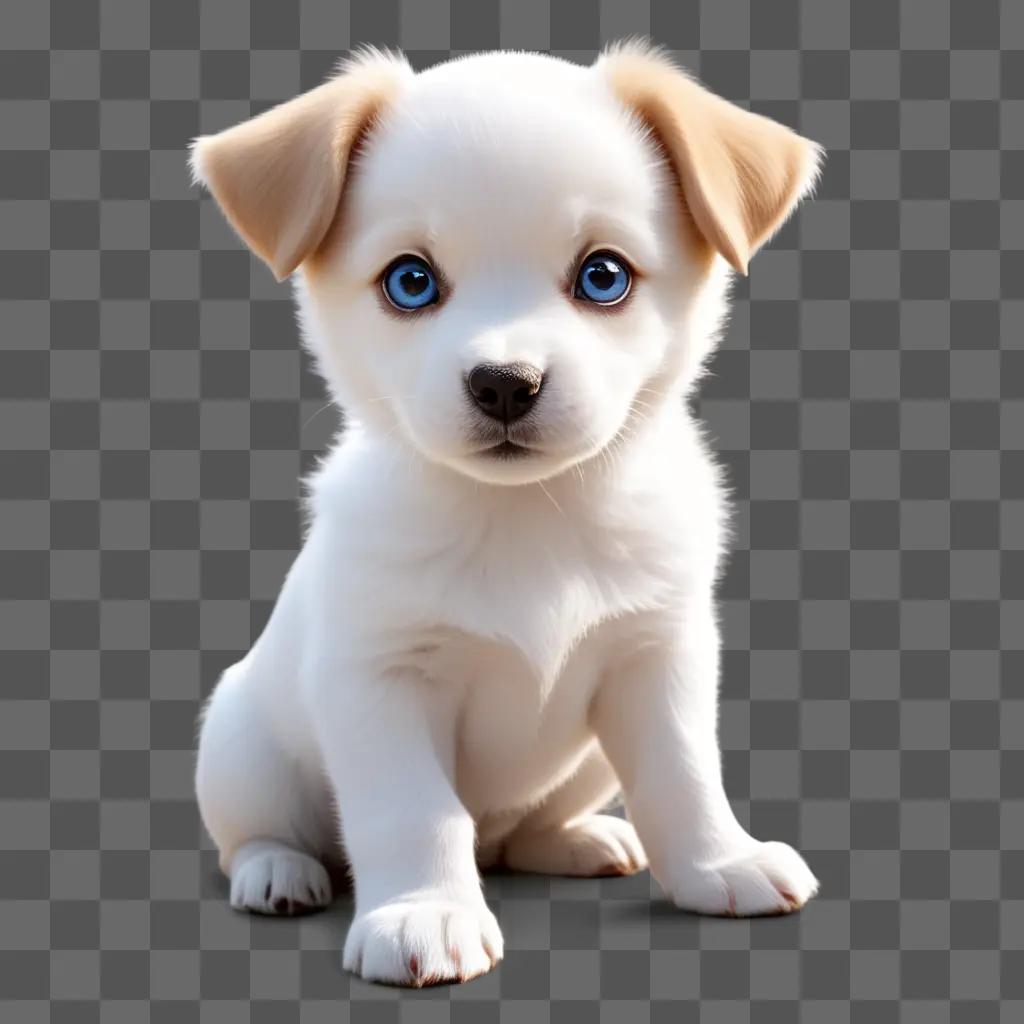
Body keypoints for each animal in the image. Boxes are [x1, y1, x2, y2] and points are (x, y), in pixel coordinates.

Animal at [192, 44, 823, 987]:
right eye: (410, 282)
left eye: (603, 275)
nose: (504, 384)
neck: (528, 519)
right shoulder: (379, 681)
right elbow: (413, 812)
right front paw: (424, 913)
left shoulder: (658, 656)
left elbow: (683, 772)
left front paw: (720, 861)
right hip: (240, 747)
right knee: (260, 835)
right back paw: (278, 871)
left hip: (584, 761)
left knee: (517, 833)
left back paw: (577, 840)